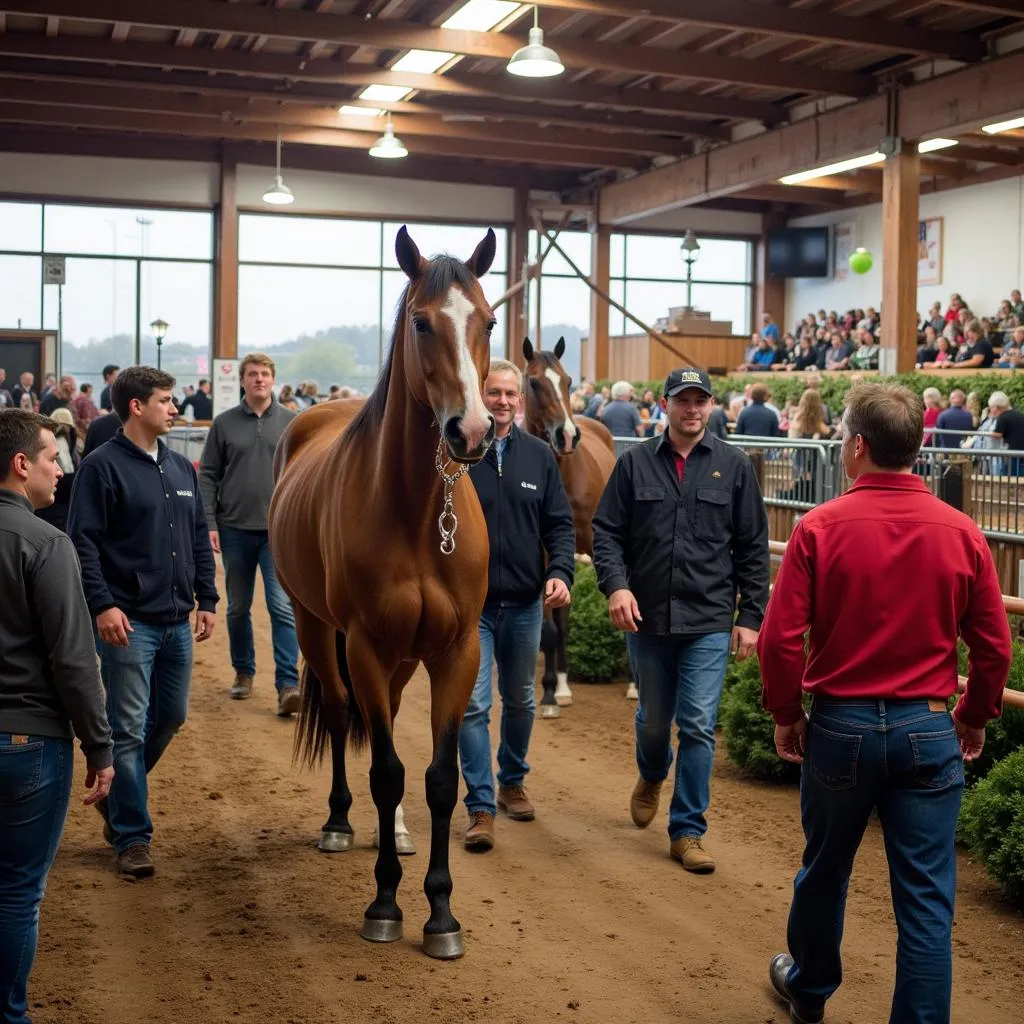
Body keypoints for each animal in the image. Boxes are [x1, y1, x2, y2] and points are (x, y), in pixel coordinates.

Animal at [270, 226, 497, 958]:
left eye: (487, 320)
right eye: (422, 322)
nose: (472, 431)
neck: (419, 513)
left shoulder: (456, 652)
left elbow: (438, 778)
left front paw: (442, 914)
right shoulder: (365, 645)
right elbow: (386, 770)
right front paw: (386, 904)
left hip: (401, 656)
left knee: (387, 721)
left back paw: (390, 828)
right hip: (319, 628)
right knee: (348, 719)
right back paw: (342, 823)